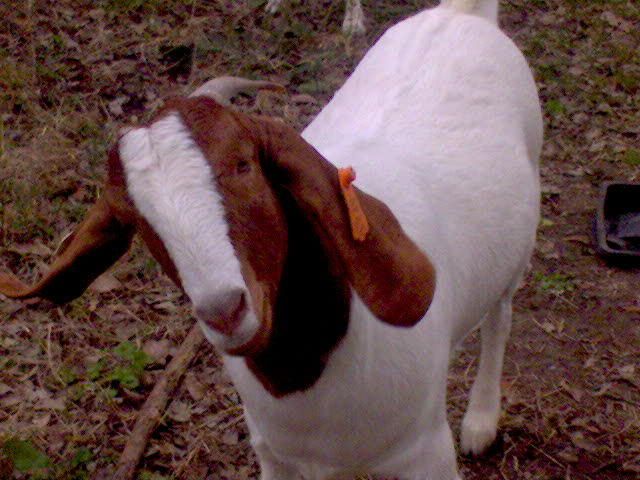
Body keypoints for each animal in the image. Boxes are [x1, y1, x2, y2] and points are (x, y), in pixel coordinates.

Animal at [0, 0, 542, 478]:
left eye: (244, 164)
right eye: (136, 217)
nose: (224, 311)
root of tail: (458, 14)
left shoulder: (425, 454)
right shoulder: (277, 457)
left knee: (501, 316)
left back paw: (481, 421)